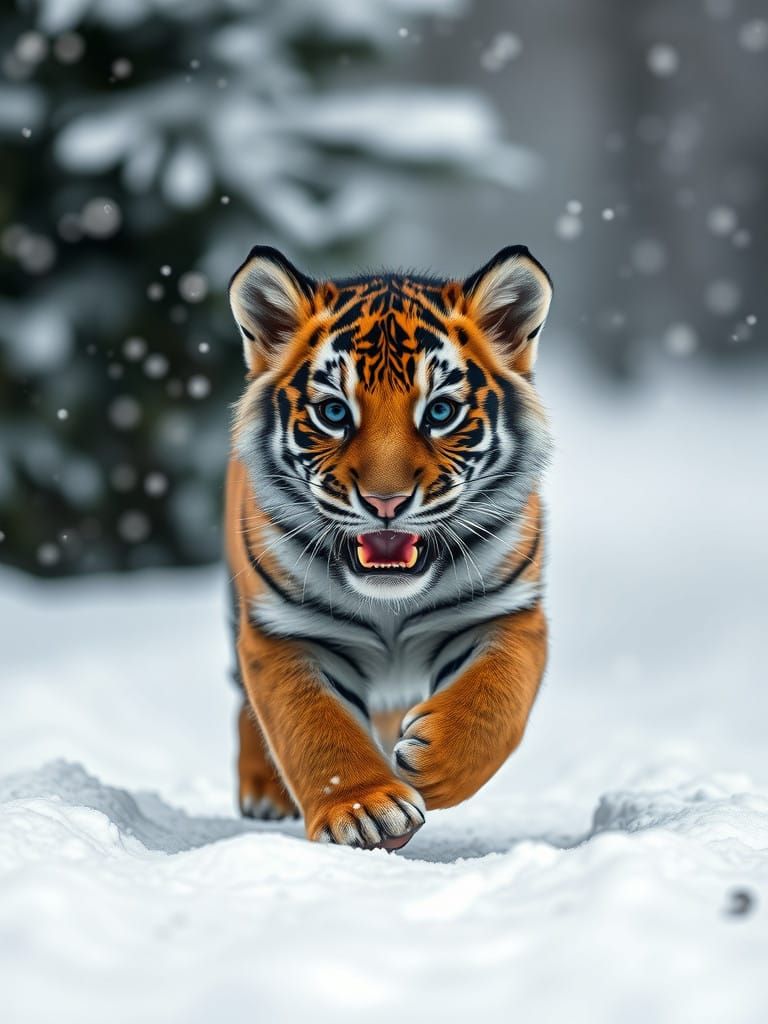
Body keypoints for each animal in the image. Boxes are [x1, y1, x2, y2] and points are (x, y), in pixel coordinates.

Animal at [225, 244, 552, 850]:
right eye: (334, 413)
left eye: (440, 413)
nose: (386, 501)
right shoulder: (284, 631)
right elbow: (313, 725)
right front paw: (363, 810)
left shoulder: (507, 612)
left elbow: (496, 699)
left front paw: (434, 761)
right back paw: (265, 793)